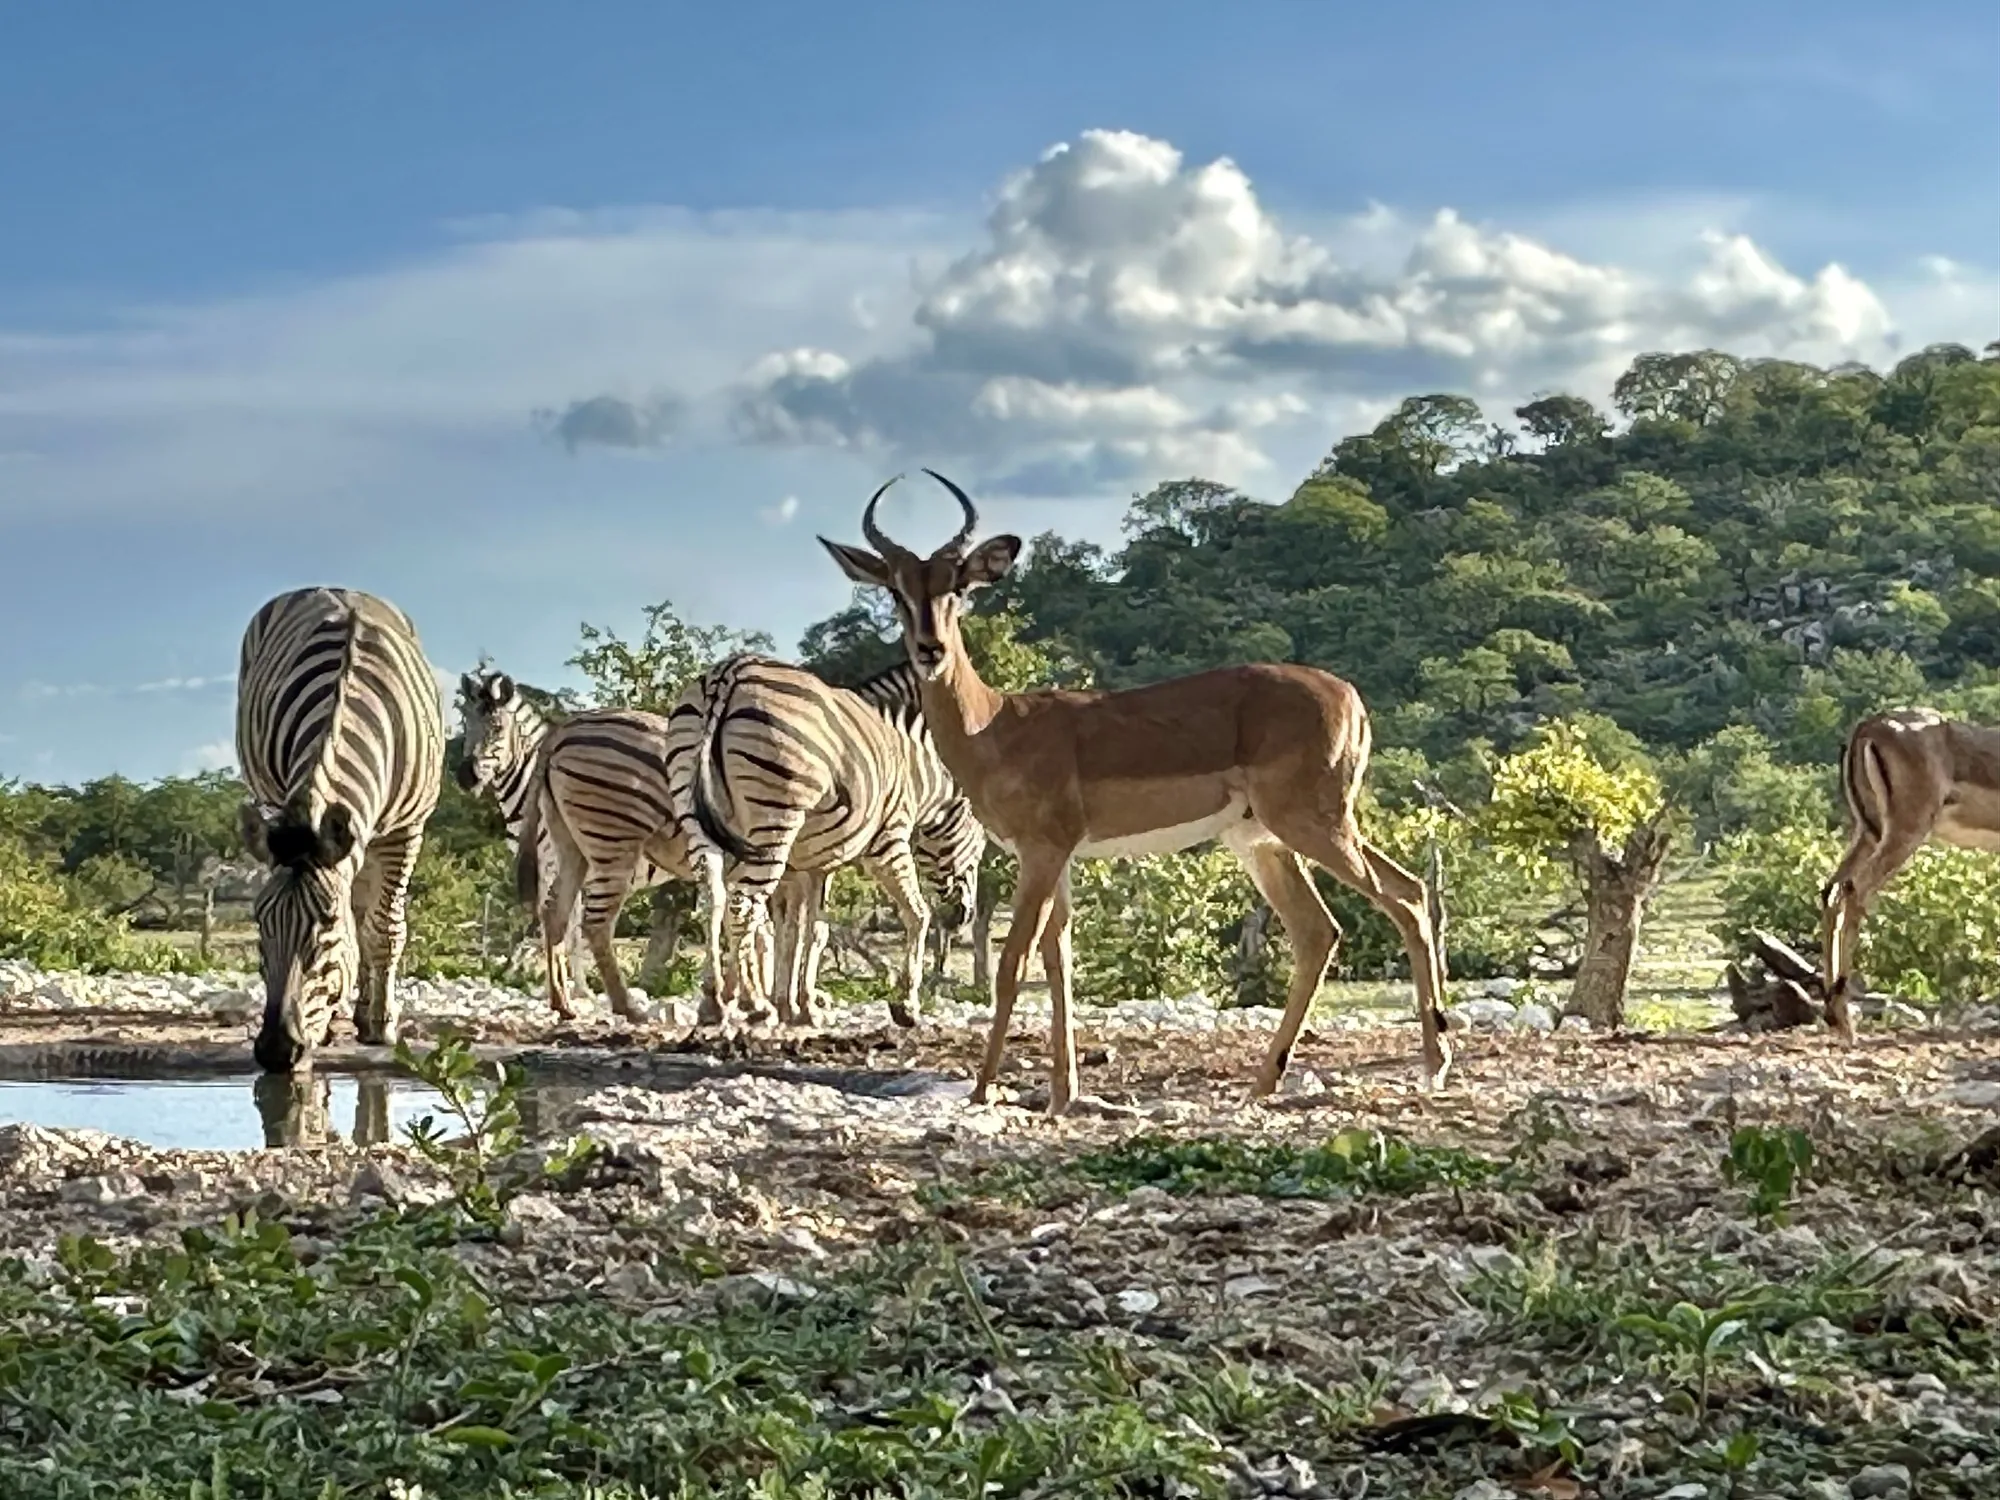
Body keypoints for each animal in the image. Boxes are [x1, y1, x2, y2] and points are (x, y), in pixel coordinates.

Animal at [235, 586, 445, 1072]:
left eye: (328, 924)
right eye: (259, 923)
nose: (276, 1052)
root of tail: (334, 589)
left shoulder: (407, 829)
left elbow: (384, 929)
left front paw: (382, 1024)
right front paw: (331, 1025)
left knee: (372, 915)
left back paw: (369, 1012)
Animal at [677, 653, 987, 1028]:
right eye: (982, 844)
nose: (964, 917)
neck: (912, 768)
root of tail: (731, 670)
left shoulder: (810, 866)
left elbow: (801, 930)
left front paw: (794, 1005)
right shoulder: (889, 842)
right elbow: (916, 913)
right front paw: (906, 1005)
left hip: (696, 816)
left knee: (716, 899)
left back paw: (714, 999)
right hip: (774, 822)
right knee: (742, 906)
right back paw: (750, 1001)